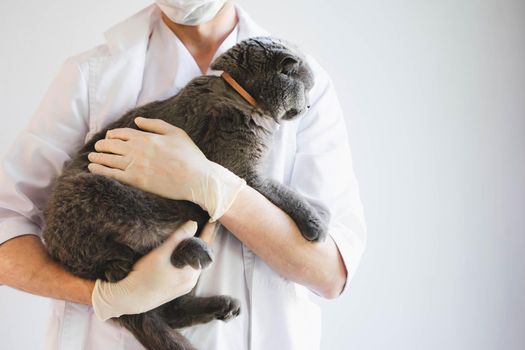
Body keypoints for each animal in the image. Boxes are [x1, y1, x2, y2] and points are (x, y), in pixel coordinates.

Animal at [42, 36, 328, 350]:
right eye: (306, 87)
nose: (310, 104)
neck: (241, 96)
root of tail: (62, 253)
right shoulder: (243, 172)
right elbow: (284, 192)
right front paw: (315, 223)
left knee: (167, 306)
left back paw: (220, 305)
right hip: (107, 197)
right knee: (149, 262)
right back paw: (193, 251)